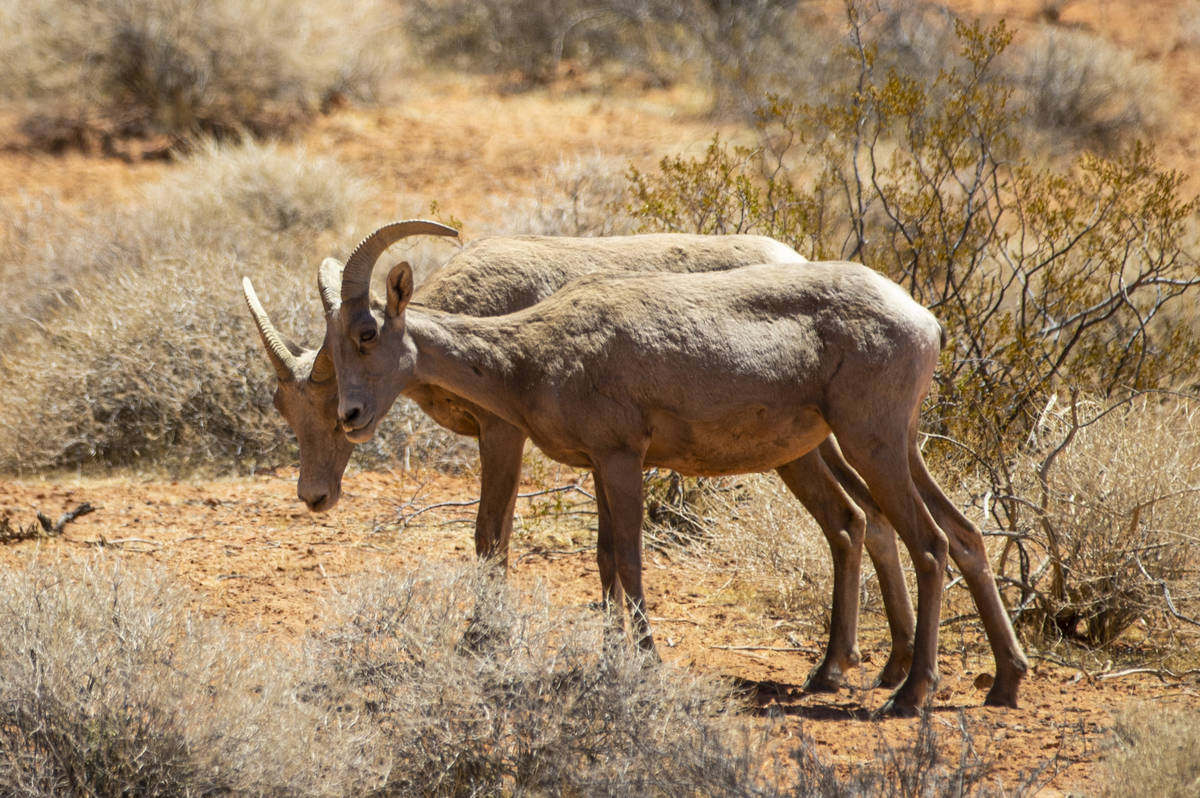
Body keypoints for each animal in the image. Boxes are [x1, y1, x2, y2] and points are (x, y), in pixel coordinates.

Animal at [324, 222, 1027, 710]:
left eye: (367, 334)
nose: (349, 415)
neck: (533, 354)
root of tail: (924, 321)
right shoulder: (600, 464)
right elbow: (607, 558)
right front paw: (614, 657)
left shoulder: (620, 458)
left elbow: (630, 560)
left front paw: (647, 661)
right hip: (891, 446)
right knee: (959, 535)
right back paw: (999, 684)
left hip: (869, 443)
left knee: (929, 544)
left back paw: (907, 696)